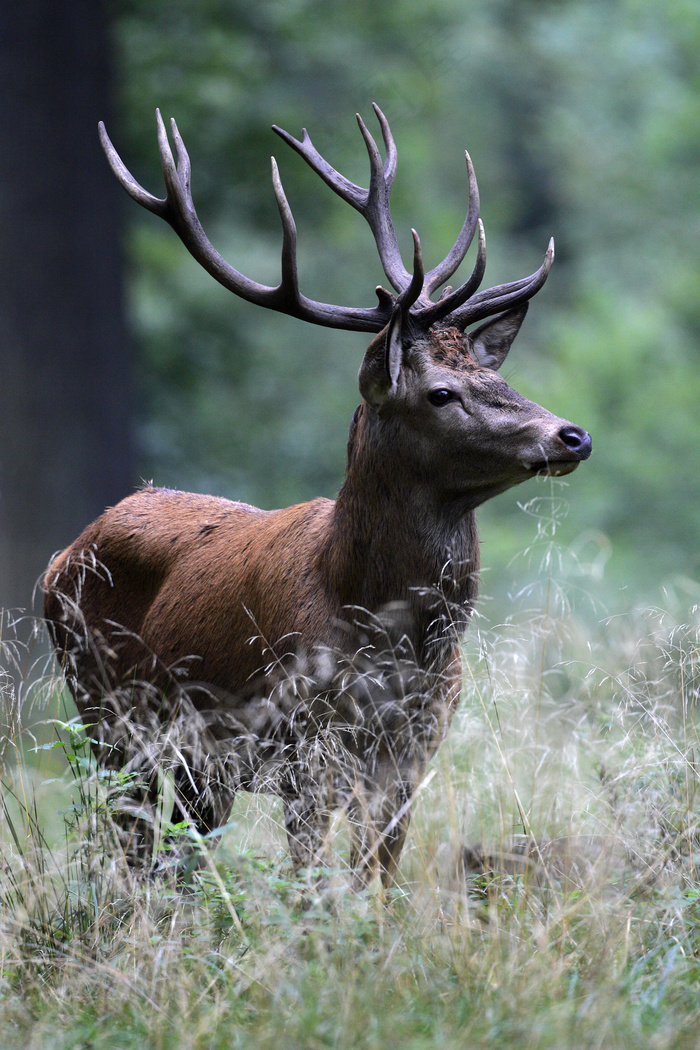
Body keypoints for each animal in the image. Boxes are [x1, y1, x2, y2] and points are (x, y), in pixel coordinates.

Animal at [43, 104, 591, 886]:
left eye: (498, 378)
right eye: (440, 392)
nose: (570, 436)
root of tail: (62, 556)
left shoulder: (416, 750)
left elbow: (378, 880)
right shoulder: (308, 745)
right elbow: (310, 885)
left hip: (195, 762)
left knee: (179, 857)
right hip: (108, 715)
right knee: (126, 848)